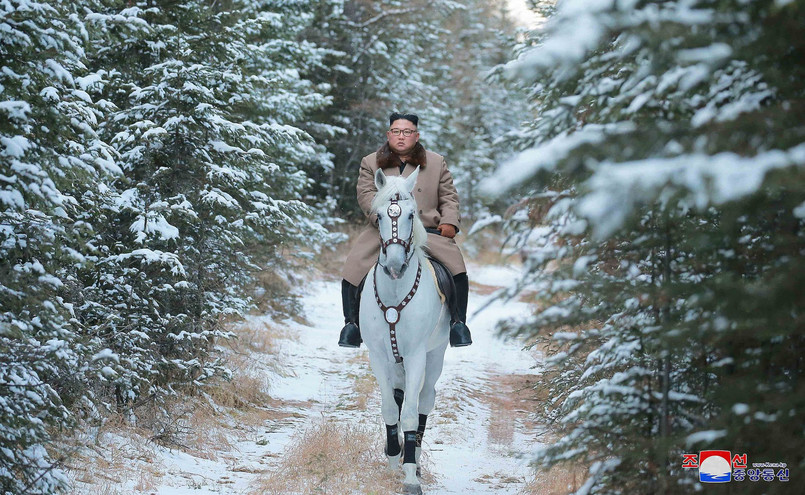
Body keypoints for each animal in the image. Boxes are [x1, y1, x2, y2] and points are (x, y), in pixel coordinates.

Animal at [360, 168, 450, 495]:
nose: (395, 265)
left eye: (412, 214)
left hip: (435, 356)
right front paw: (392, 457)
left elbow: (410, 413)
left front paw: (410, 474)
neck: (396, 292)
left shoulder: (415, 357)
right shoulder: (378, 356)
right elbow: (390, 408)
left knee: (424, 401)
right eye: (379, 216)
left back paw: (417, 459)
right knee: (399, 397)